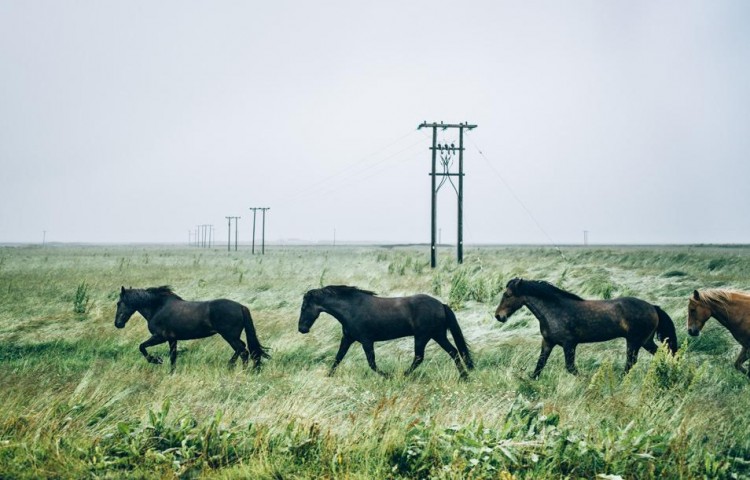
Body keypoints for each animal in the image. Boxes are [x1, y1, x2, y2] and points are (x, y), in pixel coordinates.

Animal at [114, 284, 270, 372]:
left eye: (119, 303)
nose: (118, 324)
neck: (158, 307)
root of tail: (241, 307)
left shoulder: (160, 337)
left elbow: (142, 347)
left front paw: (156, 360)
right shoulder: (172, 339)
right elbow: (173, 357)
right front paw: (172, 372)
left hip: (229, 336)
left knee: (242, 350)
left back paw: (236, 369)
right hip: (232, 336)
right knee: (243, 350)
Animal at [296, 284, 472, 378]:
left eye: (304, 307)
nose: (301, 329)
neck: (350, 309)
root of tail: (441, 305)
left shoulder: (366, 341)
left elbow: (372, 363)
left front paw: (387, 376)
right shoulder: (347, 339)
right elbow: (338, 358)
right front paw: (329, 376)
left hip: (423, 337)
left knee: (419, 357)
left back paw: (404, 375)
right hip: (437, 335)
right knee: (454, 352)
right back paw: (464, 377)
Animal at [494, 278, 680, 378]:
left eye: (508, 295)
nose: (498, 316)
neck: (554, 310)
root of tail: (652, 307)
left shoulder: (569, 344)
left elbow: (571, 368)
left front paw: (587, 379)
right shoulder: (547, 342)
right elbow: (539, 365)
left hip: (634, 342)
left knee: (631, 363)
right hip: (645, 341)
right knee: (664, 353)